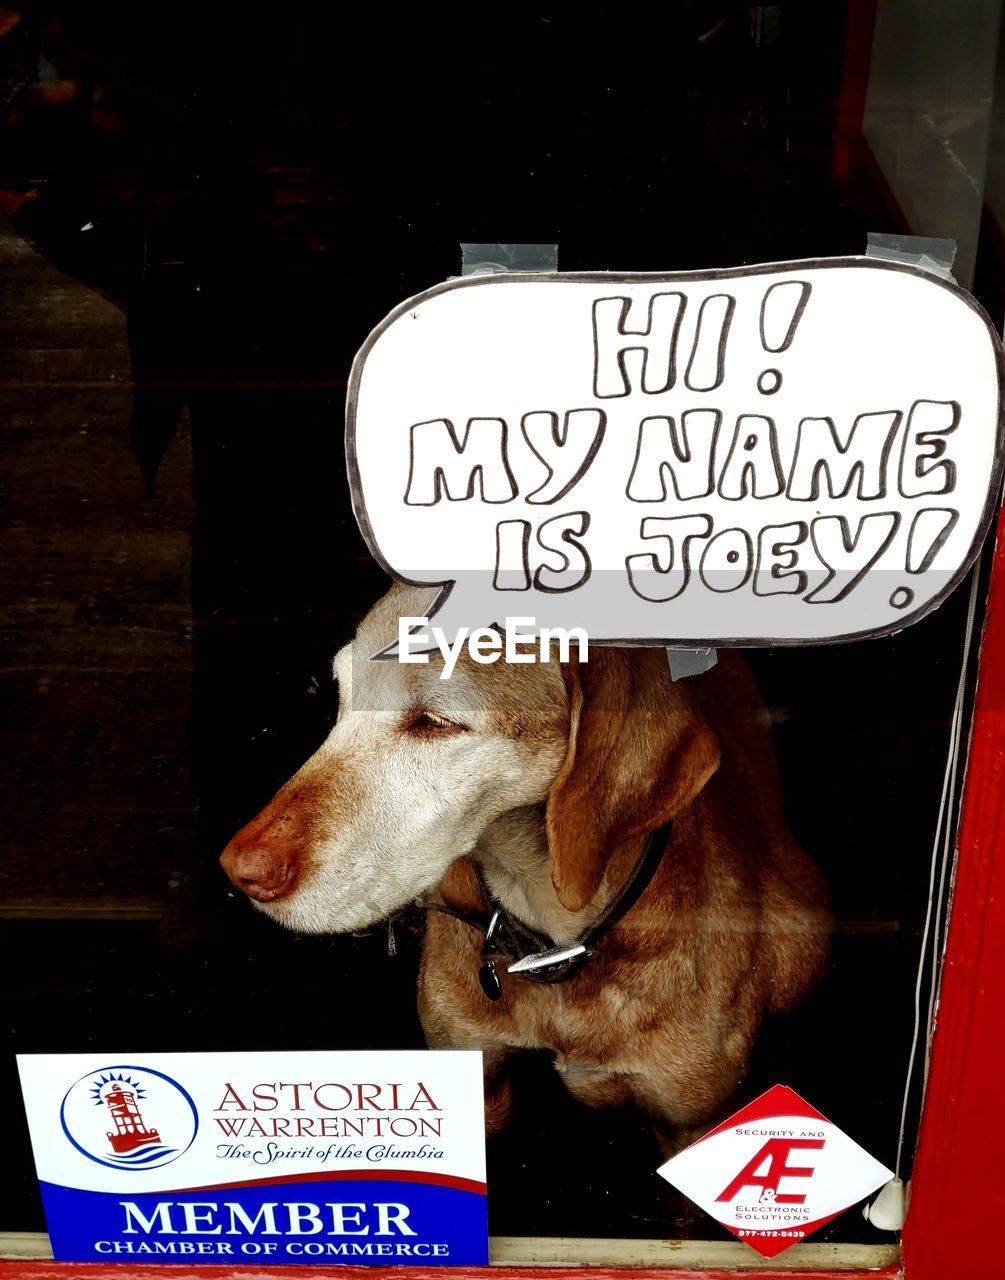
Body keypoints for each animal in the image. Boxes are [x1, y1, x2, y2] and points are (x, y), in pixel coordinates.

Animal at [224, 586, 829, 1157]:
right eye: (343, 696)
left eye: (436, 722)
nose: (238, 870)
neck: (557, 951)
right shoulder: (479, 1079)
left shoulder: (691, 1120)